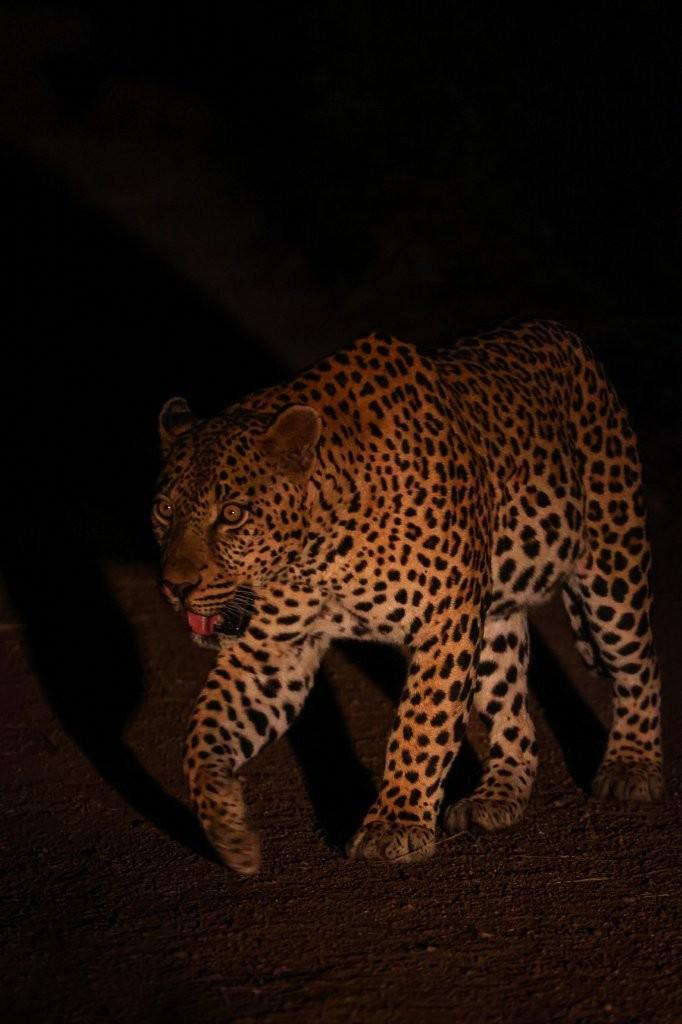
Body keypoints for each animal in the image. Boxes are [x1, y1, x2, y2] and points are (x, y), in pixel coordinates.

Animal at [152, 319, 663, 875]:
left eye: (232, 515)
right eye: (163, 510)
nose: (175, 587)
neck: (317, 547)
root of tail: (558, 331)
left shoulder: (445, 620)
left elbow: (422, 724)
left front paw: (394, 824)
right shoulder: (269, 652)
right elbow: (201, 733)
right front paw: (229, 831)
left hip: (612, 562)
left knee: (638, 666)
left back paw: (634, 765)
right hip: (494, 621)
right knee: (514, 714)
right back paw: (497, 795)